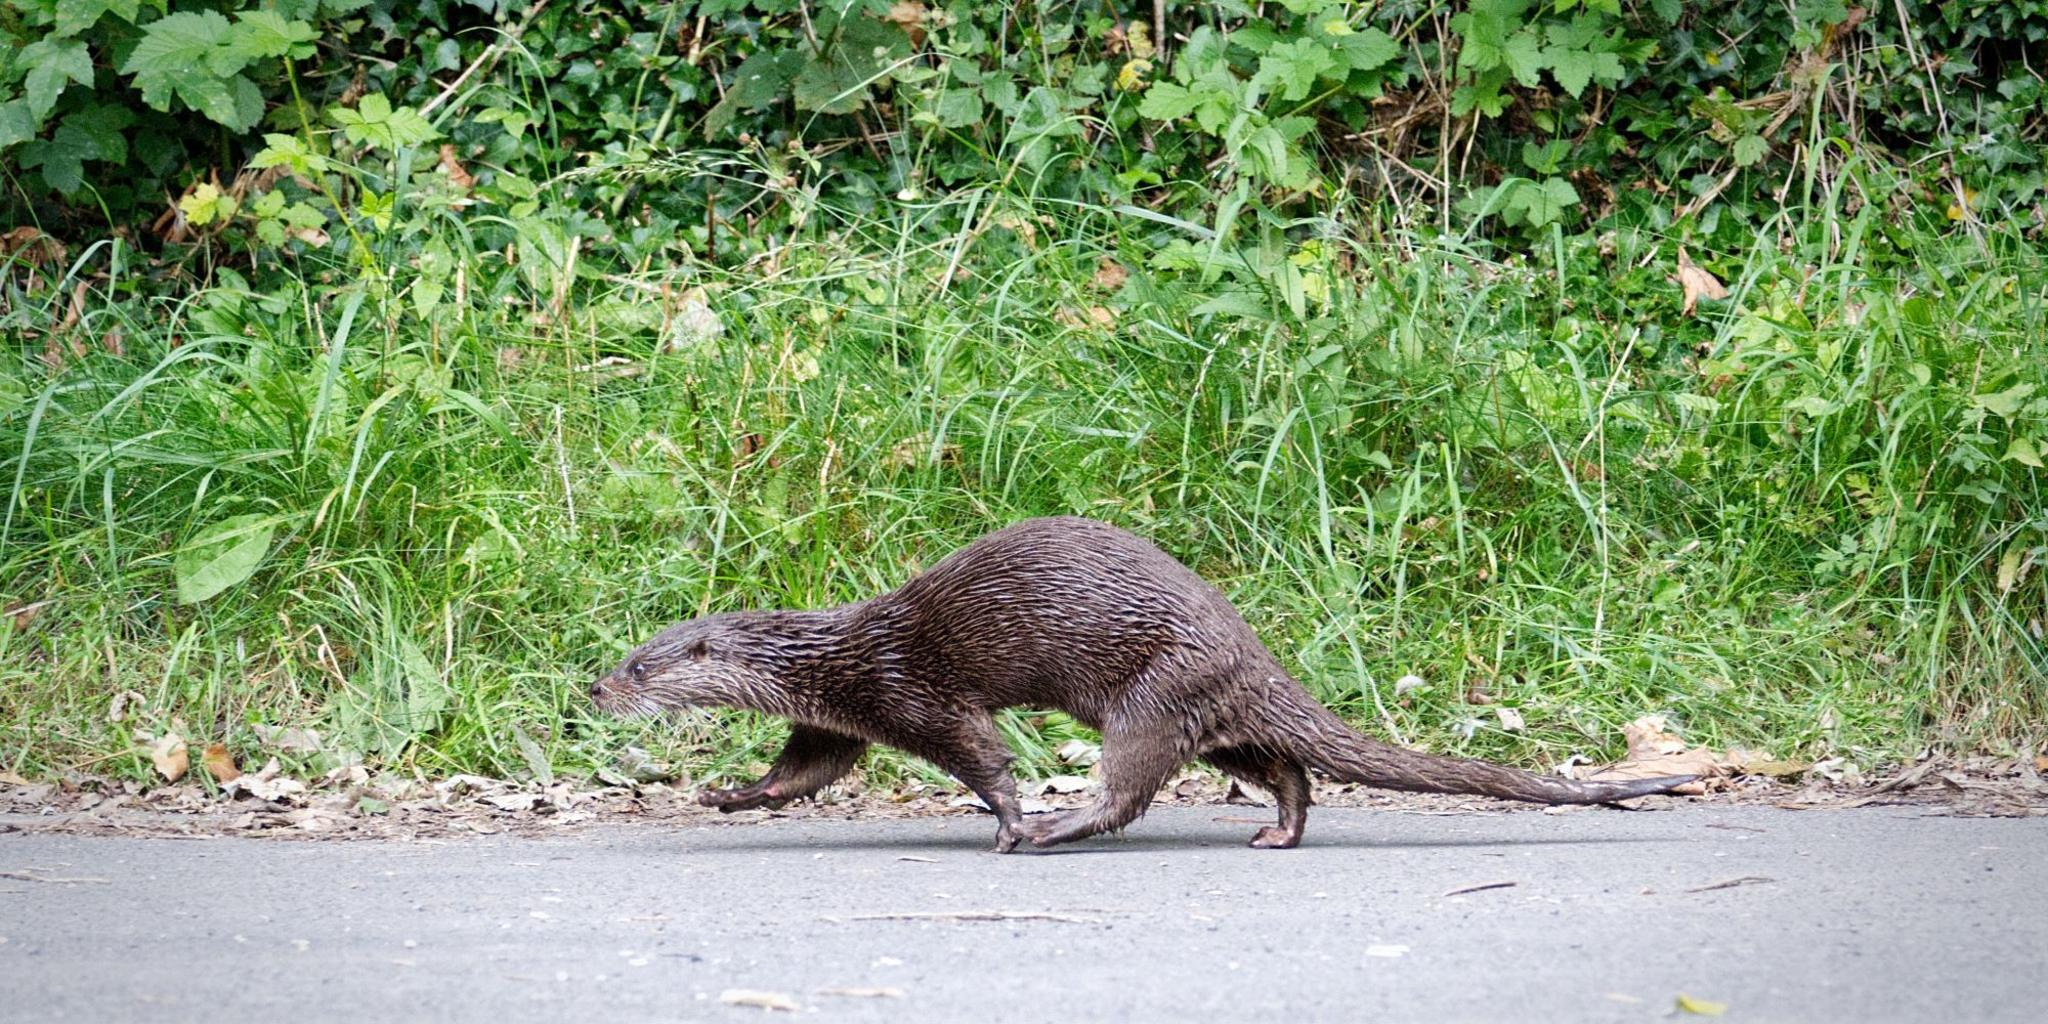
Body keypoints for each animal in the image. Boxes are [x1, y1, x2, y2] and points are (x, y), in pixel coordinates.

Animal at [593, 516, 1695, 851]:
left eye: (641, 664)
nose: (596, 692)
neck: (828, 659)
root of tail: (1247, 645)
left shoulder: (911, 695)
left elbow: (983, 757)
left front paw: (1009, 819)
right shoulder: (842, 718)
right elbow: (802, 774)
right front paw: (725, 794)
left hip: (1151, 695)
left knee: (1128, 791)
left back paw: (1055, 829)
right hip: (1203, 711)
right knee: (1286, 766)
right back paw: (1278, 833)